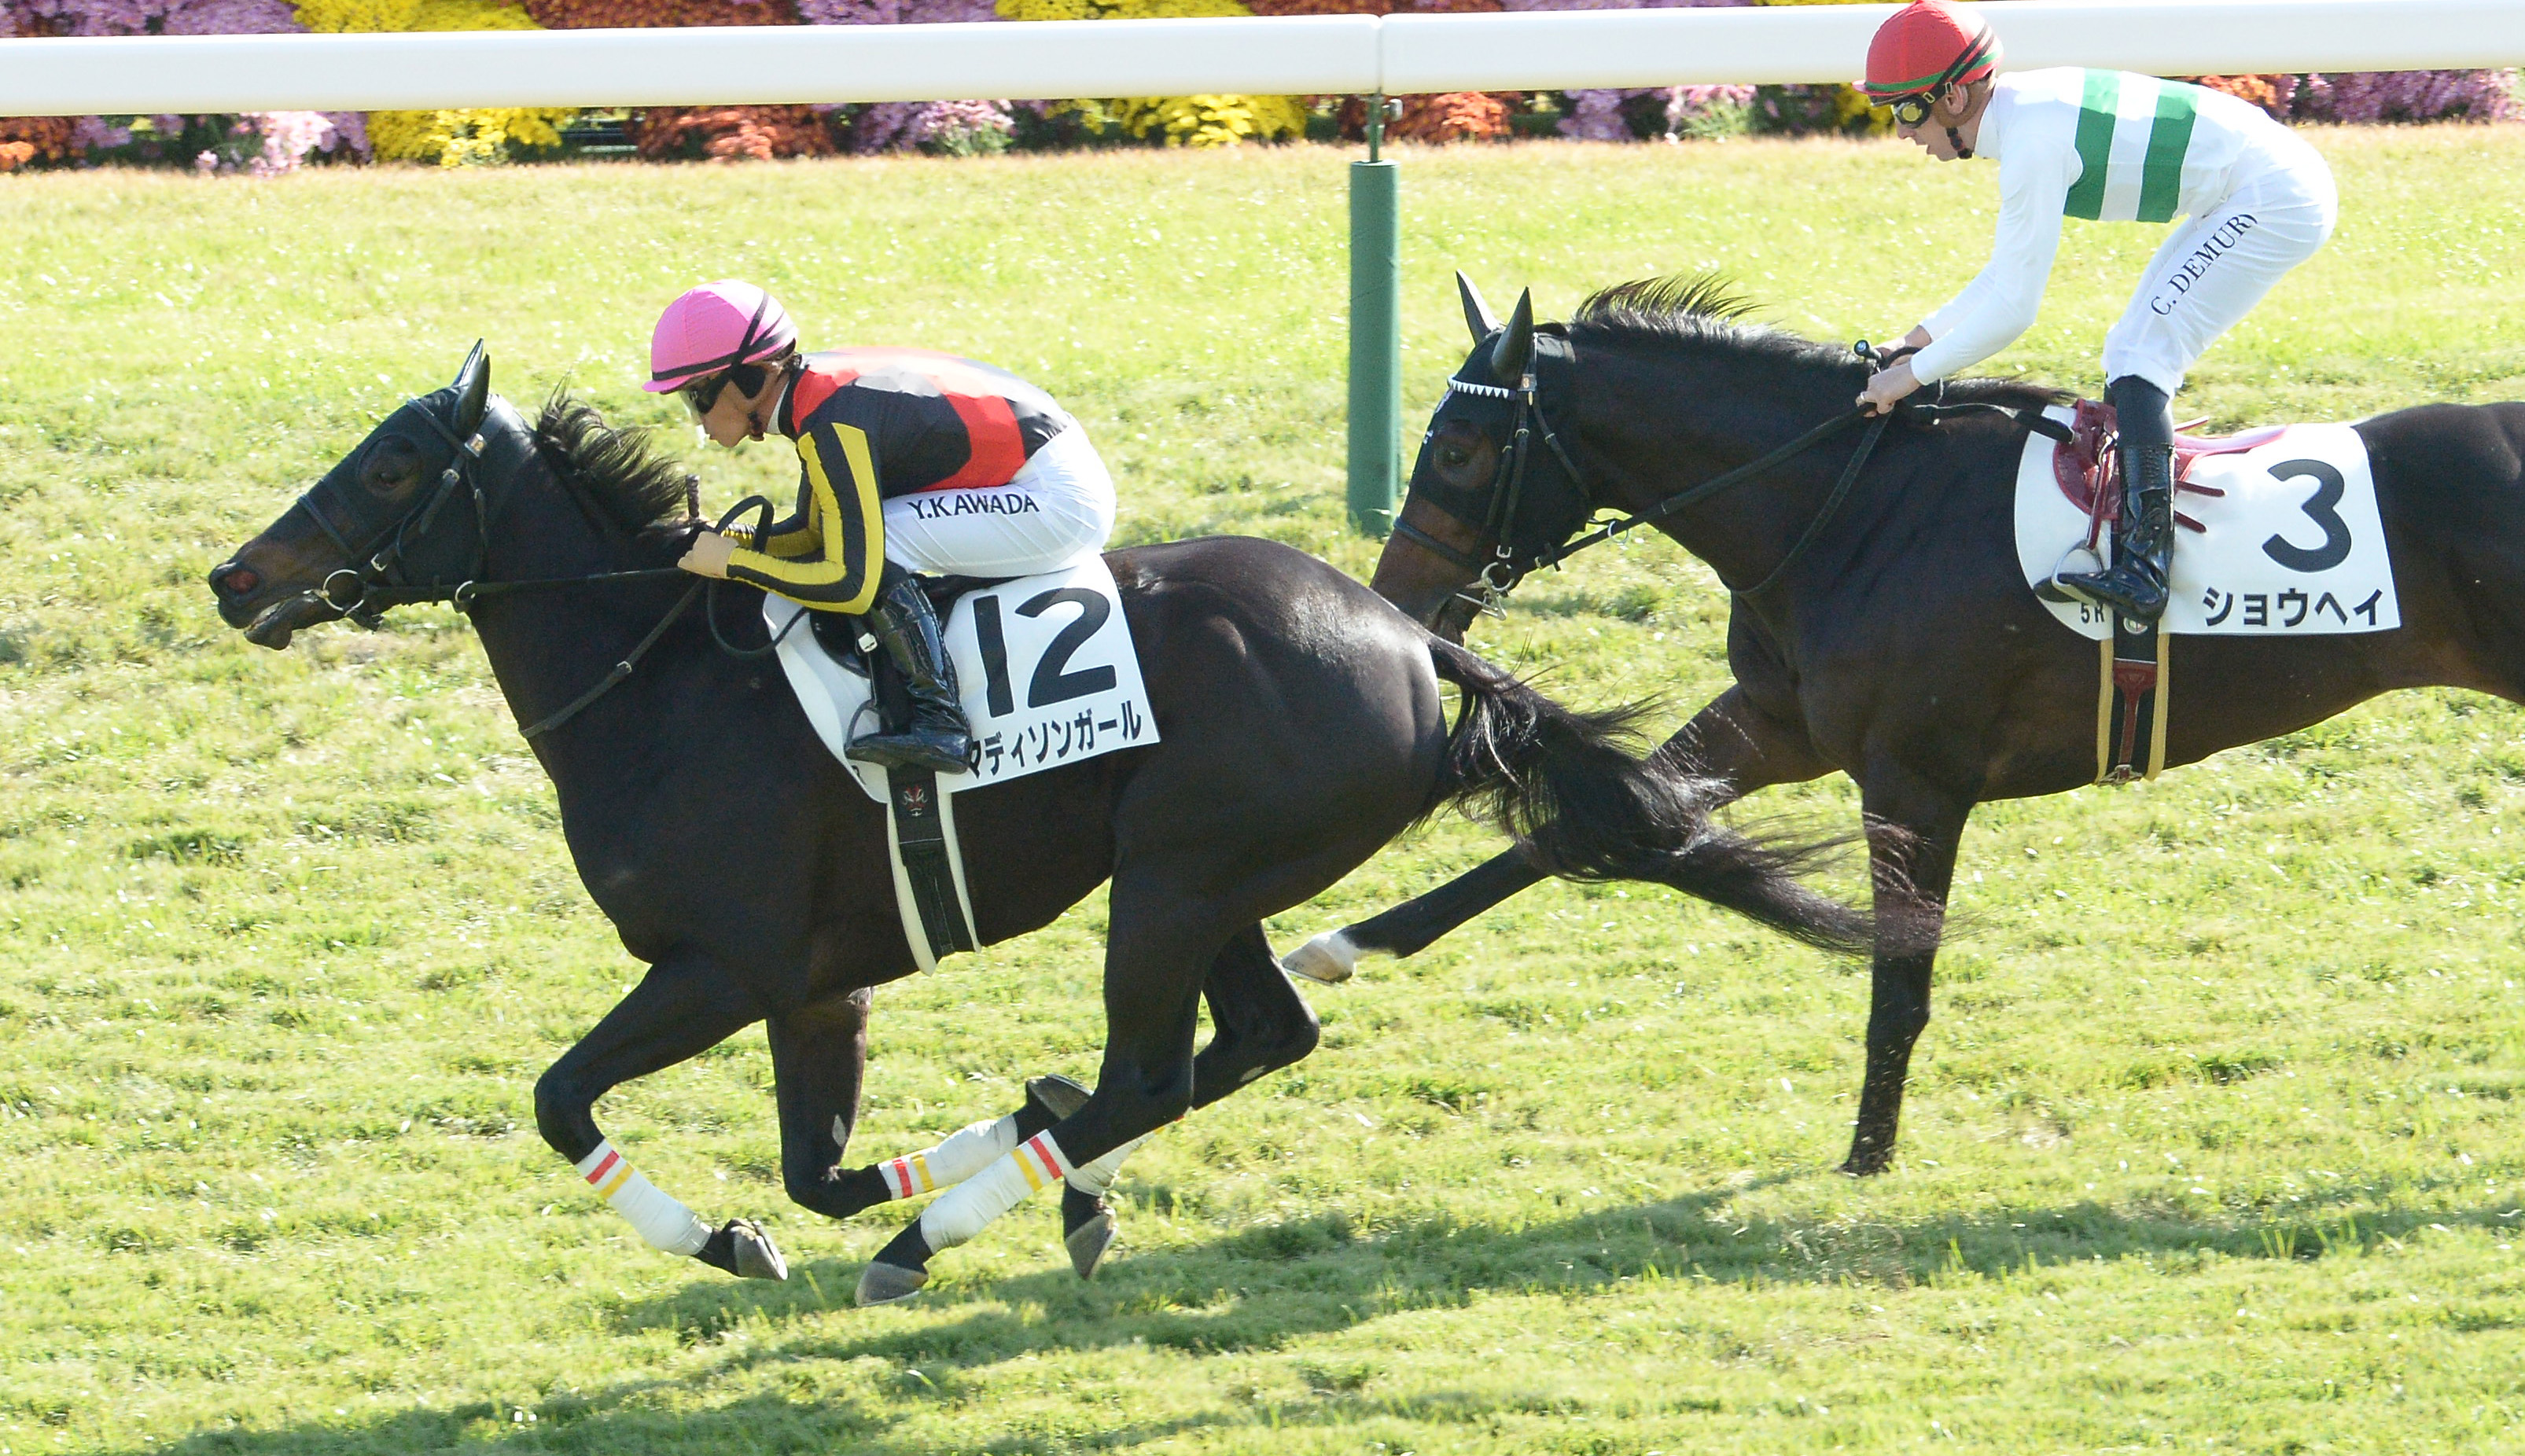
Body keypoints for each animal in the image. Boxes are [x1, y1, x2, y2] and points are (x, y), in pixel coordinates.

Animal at [204, 345, 1872, 1303]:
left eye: (394, 464)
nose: (235, 576)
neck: (660, 681)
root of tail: (1407, 636)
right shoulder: (819, 987)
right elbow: (814, 1163)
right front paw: (951, 1154)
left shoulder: (725, 968)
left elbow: (565, 1102)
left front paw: (740, 1240)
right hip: (1214, 883)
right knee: (1249, 1041)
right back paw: (1038, 1161)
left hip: (1174, 875)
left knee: (1157, 1067)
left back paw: (941, 1232)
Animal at [1299, 273, 2525, 1177]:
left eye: (1459, 451)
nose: (1395, 602)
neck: (1847, 509)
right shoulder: (1775, 724)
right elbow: (1592, 822)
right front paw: (1345, 943)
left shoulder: (1911, 779)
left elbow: (1899, 981)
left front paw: (1865, 1155)